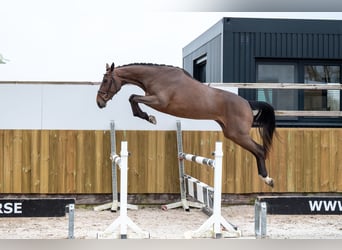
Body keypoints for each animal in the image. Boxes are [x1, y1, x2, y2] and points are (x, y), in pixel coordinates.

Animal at [95, 62, 276, 188]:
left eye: (106, 80)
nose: (99, 103)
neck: (156, 77)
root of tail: (247, 103)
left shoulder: (159, 101)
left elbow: (133, 97)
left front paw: (149, 117)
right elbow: (133, 97)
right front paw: (148, 117)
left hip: (238, 134)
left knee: (259, 150)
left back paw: (267, 179)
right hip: (231, 133)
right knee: (258, 150)